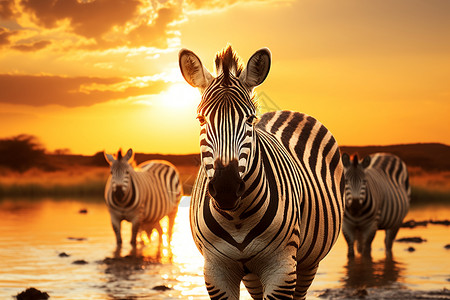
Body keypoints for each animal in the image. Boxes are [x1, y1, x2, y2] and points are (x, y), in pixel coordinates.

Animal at [178, 45, 342, 298]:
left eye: (250, 119)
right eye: (201, 118)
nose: (226, 189)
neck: (236, 218)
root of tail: (288, 111)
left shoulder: (282, 268)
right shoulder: (216, 271)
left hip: (308, 262)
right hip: (253, 275)